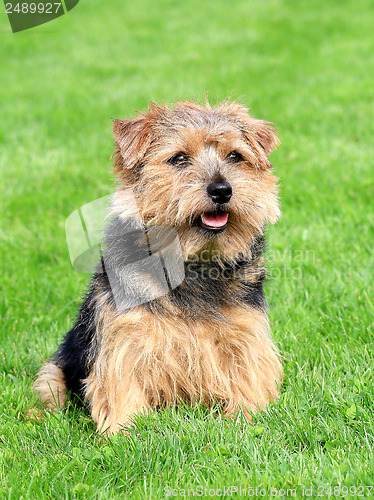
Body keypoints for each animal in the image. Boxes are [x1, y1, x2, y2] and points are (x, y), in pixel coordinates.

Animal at [34, 101, 284, 434]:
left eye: (235, 156)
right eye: (179, 158)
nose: (221, 189)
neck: (191, 262)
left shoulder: (245, 331)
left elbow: (248, 375)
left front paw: (246, 417)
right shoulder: (126, 335)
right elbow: (121, 383)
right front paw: (124, 432)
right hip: (57, 367)